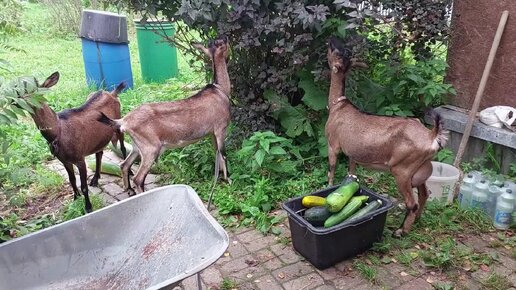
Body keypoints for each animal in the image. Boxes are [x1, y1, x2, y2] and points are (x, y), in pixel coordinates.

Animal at [29, 72, 127, 213]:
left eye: (37, 92)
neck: (58, 131)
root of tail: (112, 93)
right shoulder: (65, 161)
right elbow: (72, 180)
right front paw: (75, 199)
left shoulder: (80, 159)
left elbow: (84, 186)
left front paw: (88, 207)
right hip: (99, 137)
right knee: (99, 153)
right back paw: (95, 179)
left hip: (118, 125)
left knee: (123, 148)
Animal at [99, 35, 232, 199]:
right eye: (221, 43)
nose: (226, 37)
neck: (220, 90)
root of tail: (124, 121)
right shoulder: (220, 129)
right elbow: (224, 155)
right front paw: (228, 180)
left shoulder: (212, 132)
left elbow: (217, 154)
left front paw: (219, 177)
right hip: (151, 148)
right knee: (138, 178)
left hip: (137, 146)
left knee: (124, 165)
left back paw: (129, 190)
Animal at [326, 38, 448, 238]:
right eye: (344, 53)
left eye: (338, 53)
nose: (332, 40)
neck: (338, 106)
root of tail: (432, 134)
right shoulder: (353, 155)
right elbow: (351, 174)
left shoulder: (333, 144)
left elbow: (331, 171)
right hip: (420, 168)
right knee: (424, 194)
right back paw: (416, 221)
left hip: (402, 170)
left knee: (412, 202)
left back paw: (400, 231)